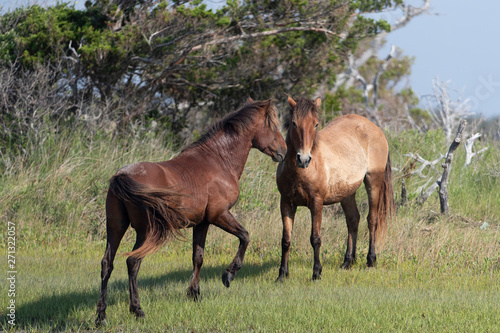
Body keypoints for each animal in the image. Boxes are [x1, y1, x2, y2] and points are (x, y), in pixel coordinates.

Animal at [95, 99, 288, 324]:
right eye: (273, 126)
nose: (284, 151)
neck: (217, 160)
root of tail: (122, 176)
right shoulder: (219, 215)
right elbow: (245, 237)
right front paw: (228, 275)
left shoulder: (202, 223)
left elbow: (198, 257)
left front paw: (194, 293)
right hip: (145, 232)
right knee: (133, 262)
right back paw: (137, 310)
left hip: (116, 228)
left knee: (107, 264)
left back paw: (101, 316)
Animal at [276, 95, 392, 280]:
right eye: (294, 123)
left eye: (316, 124)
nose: (303, 159)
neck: (300, 172)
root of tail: (375, 128)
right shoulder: (286, 203)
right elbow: (286, 240)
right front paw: (282, 275)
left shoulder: (316, 203)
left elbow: (315, 238)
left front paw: (316, 272)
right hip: (347, 193)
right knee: (353, 220)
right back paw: (347, 262)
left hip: (373, 182)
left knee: (371, 220)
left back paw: (371, 260)